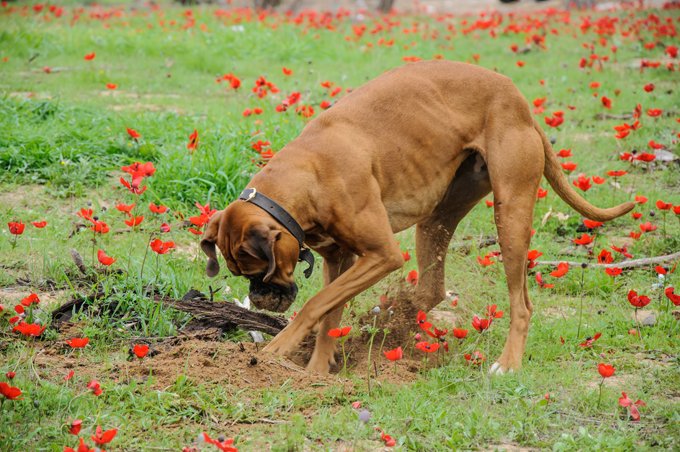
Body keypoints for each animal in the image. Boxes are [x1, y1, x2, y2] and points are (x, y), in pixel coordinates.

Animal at [201, 60, 632, 374]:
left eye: (261, 270)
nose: (259, 299)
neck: (307, 176)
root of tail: (520, 103)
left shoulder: (382, 255)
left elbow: (314, 305)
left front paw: (279, 349)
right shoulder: (342, 260)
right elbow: (328, 313)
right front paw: (317, 372)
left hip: (510, 217)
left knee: (521, 304)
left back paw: (507, 364)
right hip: (438, 219)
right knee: (432, 289)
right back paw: (395, 320)